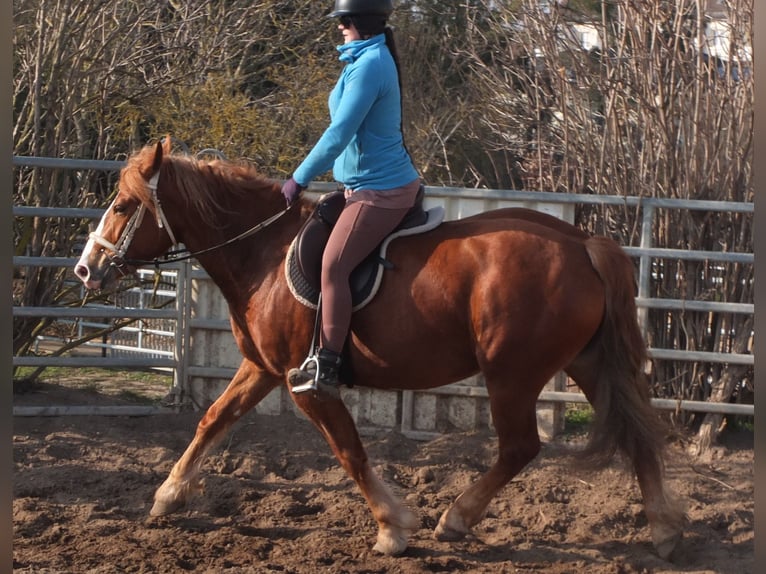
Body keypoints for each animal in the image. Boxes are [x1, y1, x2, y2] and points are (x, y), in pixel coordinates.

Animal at [73, 141, 684, 564]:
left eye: (123, 207)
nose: (85, 269)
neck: (263, 253)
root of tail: (581, 242)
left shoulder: (305, 383)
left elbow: (349, 450)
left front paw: (393, 527)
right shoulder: (262, 368)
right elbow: (212, 420)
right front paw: (168, 495)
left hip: (511, 374)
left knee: (521, 447)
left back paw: (456, 518)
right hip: (587, 363)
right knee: (636, 433)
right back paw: (662, 530)